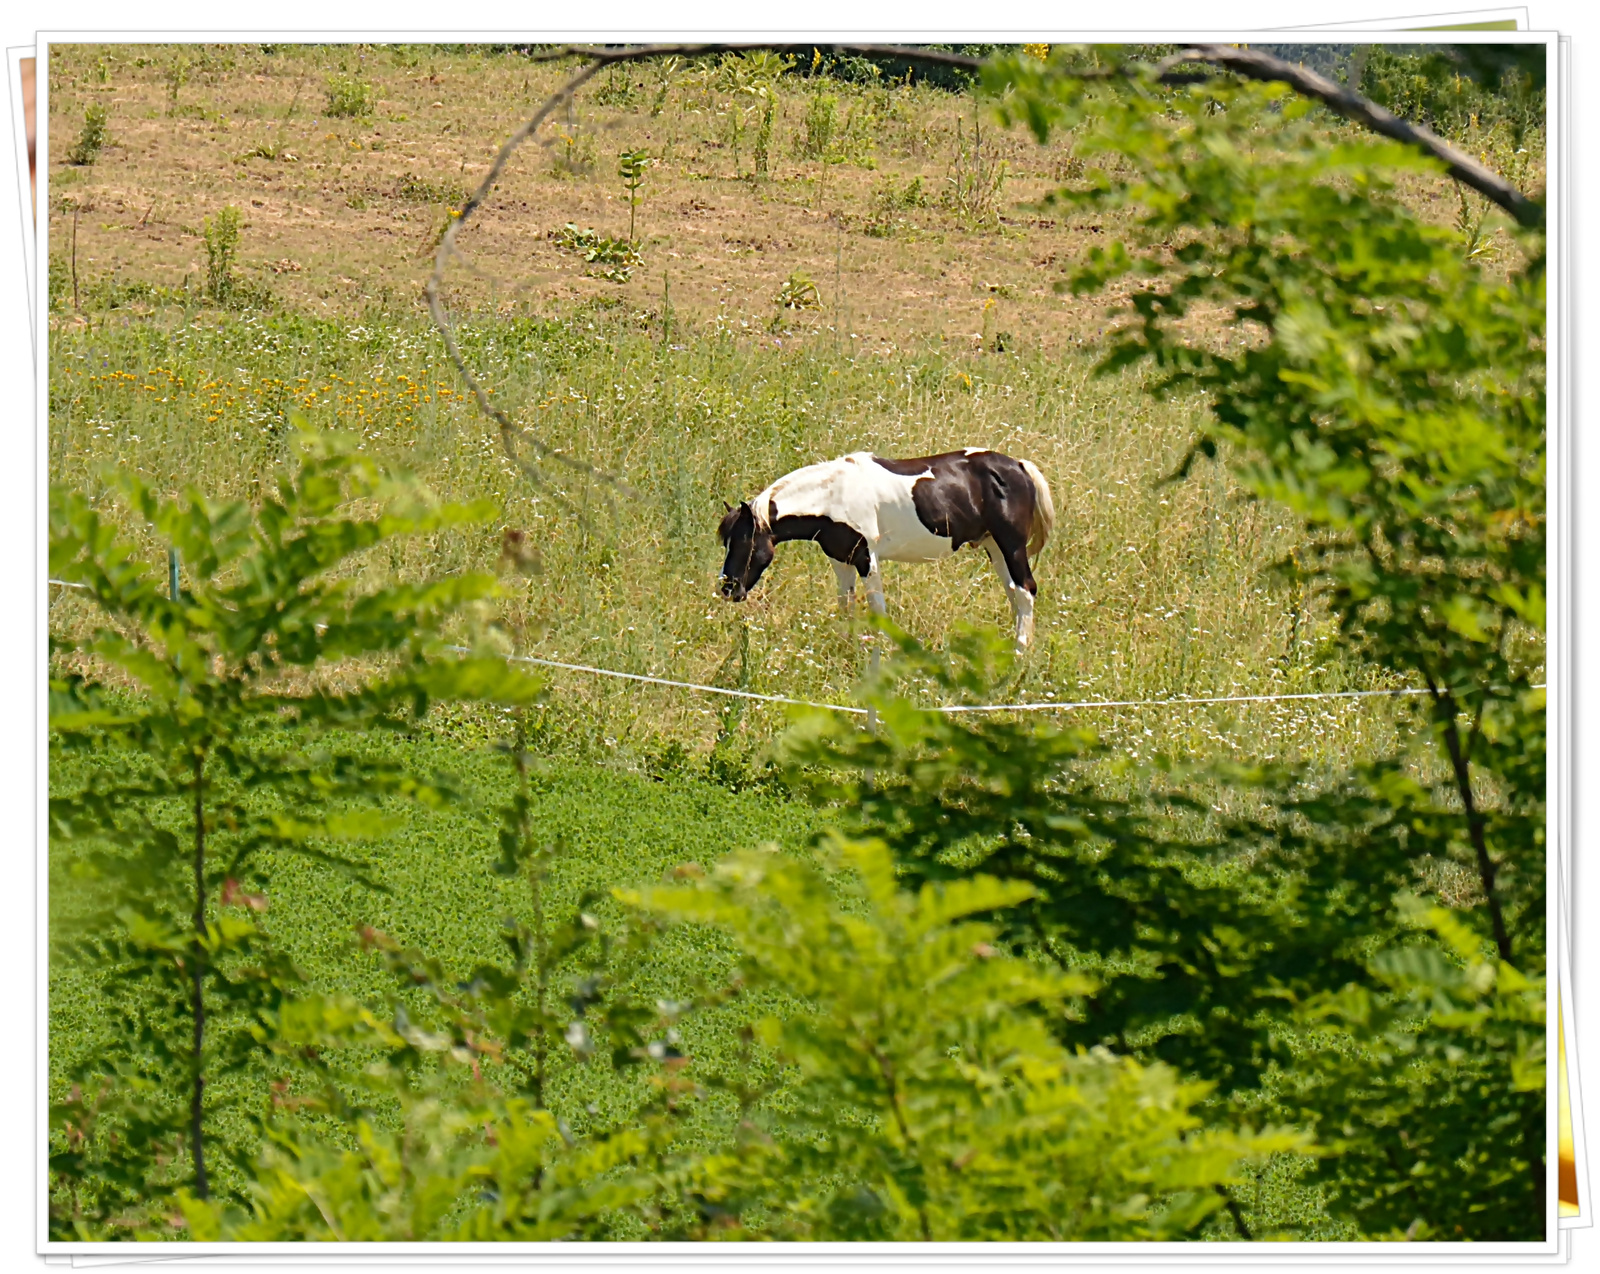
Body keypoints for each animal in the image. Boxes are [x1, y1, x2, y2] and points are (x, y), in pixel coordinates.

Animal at [720, 448, 1056, 646]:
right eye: (726, 541)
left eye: (745, 542)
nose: (728, 589)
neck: (832, 496)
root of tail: (1019, 466)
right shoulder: (841, 560)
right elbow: (846, 605)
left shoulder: (867, 559)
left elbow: (876, 609)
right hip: (994, 546)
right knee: (1014, 593)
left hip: (1011, 545)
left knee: (1025, 590)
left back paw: (1019, 655)